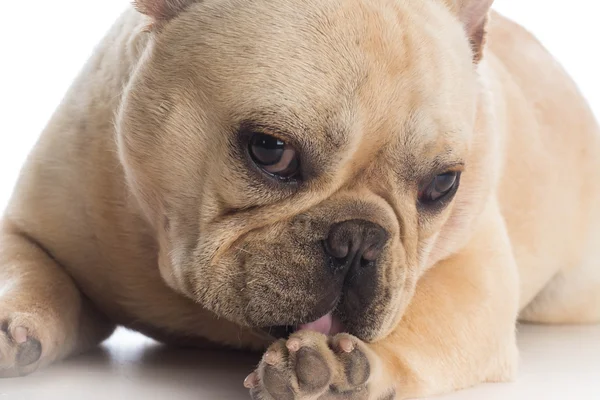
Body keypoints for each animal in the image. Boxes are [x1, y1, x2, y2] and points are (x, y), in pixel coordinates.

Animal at [1, 0, 600, 398]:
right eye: (270, 150)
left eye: (442, 185)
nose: (360, 237)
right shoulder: (34, 232)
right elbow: (34, 272)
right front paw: (14, 324)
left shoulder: (475, 278)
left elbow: (425, 316)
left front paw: (344, 367)